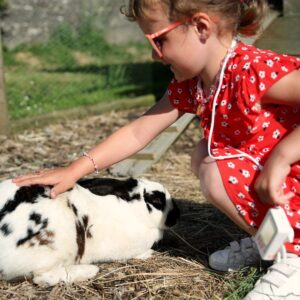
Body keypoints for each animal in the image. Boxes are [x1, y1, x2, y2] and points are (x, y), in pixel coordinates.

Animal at [0, 177, 179, 284]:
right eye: (156, 201)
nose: (176, 215)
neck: (134, 209)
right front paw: (149, 254)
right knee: (42, 277)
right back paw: (90, 270)